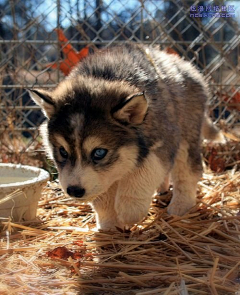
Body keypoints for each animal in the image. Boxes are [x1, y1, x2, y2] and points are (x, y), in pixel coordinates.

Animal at [29, 43, 222, 231]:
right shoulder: (103, 177)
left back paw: (180, 206)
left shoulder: (163, 142)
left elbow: (143, 173)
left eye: (99, 153)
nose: (74, 190)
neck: (104, 77)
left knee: (187, 171)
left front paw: (130, 210)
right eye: (63, 151)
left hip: (186, 134)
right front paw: (108, 224)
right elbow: (103, 195)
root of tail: (185, 65)